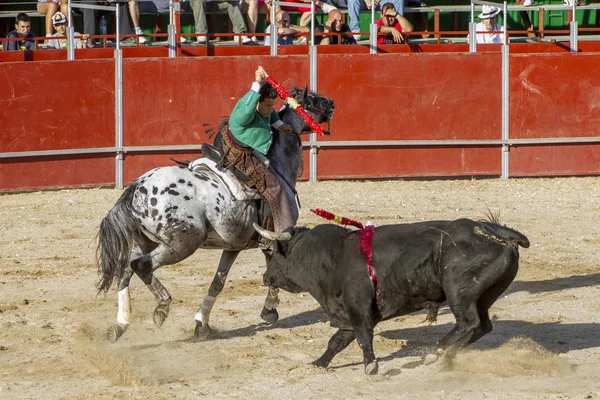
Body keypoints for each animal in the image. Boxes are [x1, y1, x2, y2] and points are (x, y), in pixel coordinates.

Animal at [96, 89, 336, 342]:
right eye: (313, 98)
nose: (331, 103)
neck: (278, 167)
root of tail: (137, 187)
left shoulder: (233, 246)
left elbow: (218, 282)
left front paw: (202, 324)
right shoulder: (274, 238)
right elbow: (272, 271)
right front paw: (269, 310)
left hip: (146, 240)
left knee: (125, 270)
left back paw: (120, 325)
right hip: (182, 243)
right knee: (141, 266)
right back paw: (162, 307)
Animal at [260, 219, 528, 376]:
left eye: (273, 253)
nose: (266, 277)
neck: (332, 256)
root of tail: (496, 232)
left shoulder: (357, 308)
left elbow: (363, 337)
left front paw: (371, 366)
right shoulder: (346, 314)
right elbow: (336, 342)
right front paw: (318, 363)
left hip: (459, 291)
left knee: (468, 322)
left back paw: (435, 352)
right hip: (484, 295)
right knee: (482, 325)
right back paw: (450, 354)